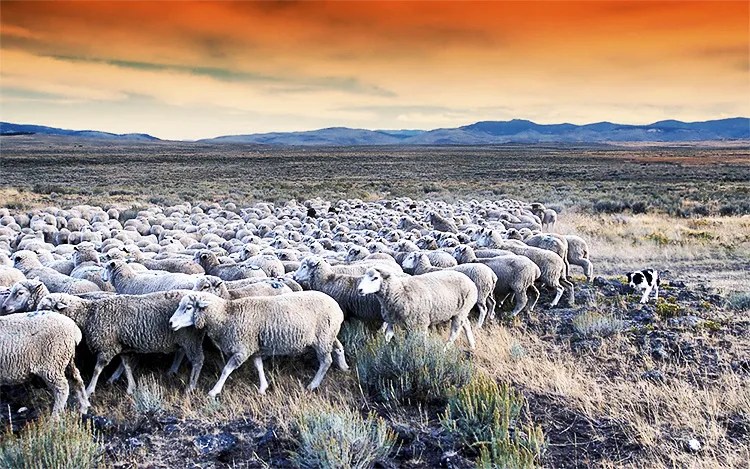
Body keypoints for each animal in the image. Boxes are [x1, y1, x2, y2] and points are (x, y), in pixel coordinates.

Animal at [37, 290, 204, 396]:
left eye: (46, 308)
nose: (35, 317)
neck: (89, 315)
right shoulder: (121, 345)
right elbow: (127, 365)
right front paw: (131, 387)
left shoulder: (107, 347)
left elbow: (97, 369)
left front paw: (90, 389)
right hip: (184, 339)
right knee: (183, 353)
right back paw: (175, 372)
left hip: (190, 338)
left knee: (198, 360)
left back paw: (190, 387)